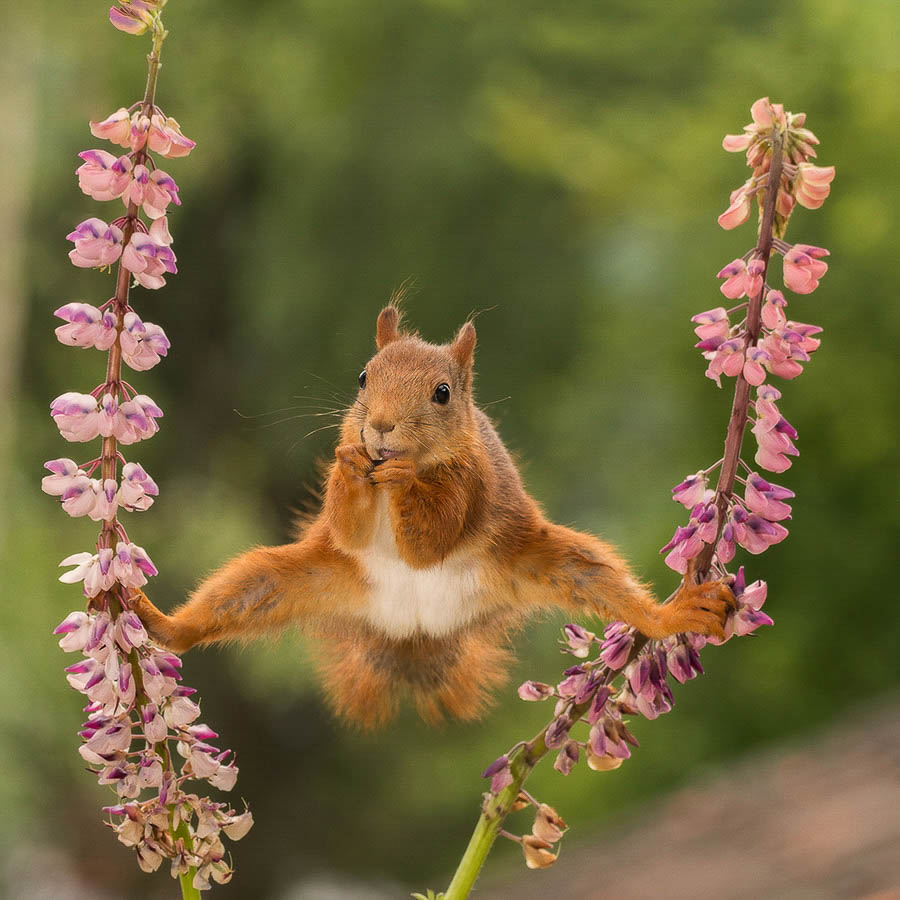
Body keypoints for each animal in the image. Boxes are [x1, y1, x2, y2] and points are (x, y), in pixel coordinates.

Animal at [135, 306, 740, 728]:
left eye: (443, 393)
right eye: (362, 377)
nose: (379, 427)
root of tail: (415, 631)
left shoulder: (471, 486)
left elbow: (431, 541)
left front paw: (404, 480)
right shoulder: (347, 518)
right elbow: (349, 527)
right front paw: (351, 464)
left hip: (545, 561)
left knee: (606, 585)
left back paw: (674, 613)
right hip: (293, 577)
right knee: (228, 600)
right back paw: (157, 621)